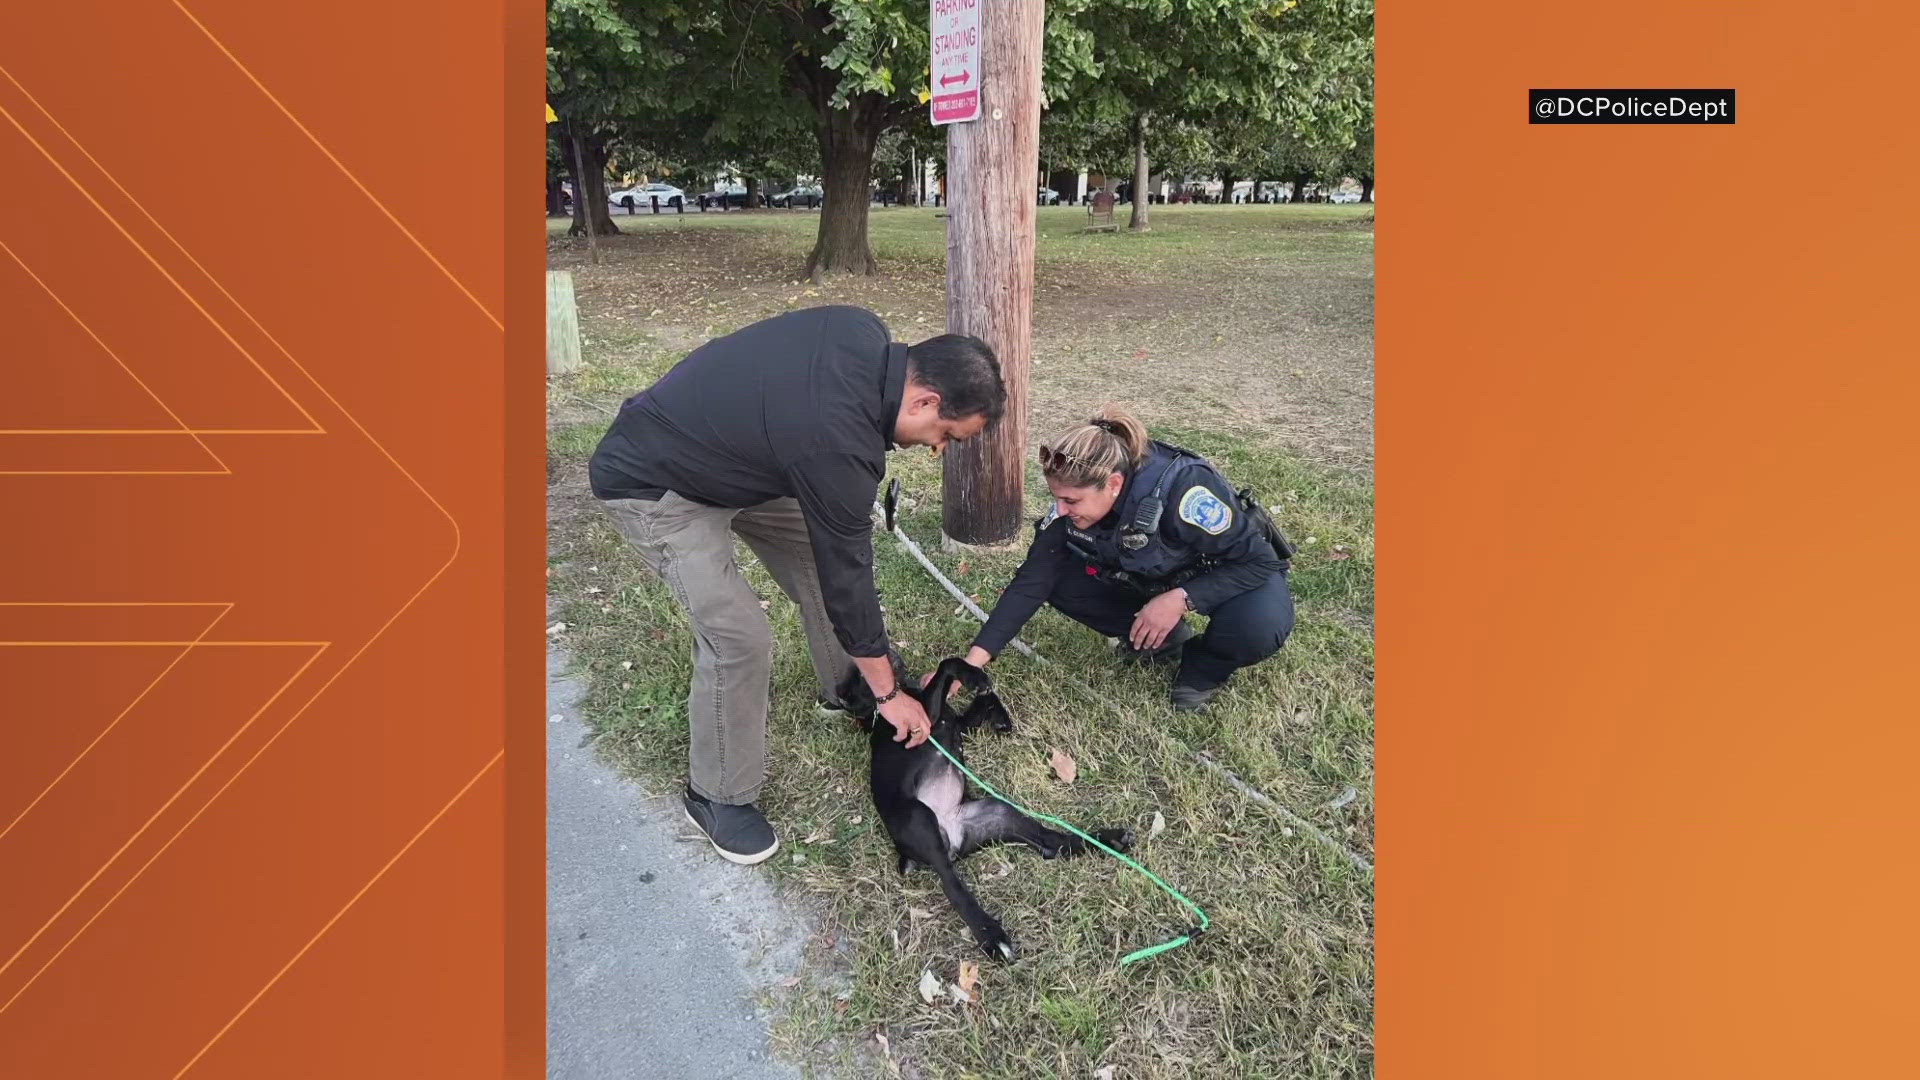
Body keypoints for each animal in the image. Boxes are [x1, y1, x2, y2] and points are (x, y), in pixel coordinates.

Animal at [837, 653, 1128, 953]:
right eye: (862, 676)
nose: (891, 656)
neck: (876, 714)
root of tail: (949, 826)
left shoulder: (957, 723)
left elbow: (979, 702)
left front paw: (998, 713)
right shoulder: (922, 721)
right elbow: (948, 663)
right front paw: (975, 678)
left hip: (998, 813)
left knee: (1049, 842)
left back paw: (1105, 840)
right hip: (921, 819)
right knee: (952, 885)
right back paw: (991, 935)